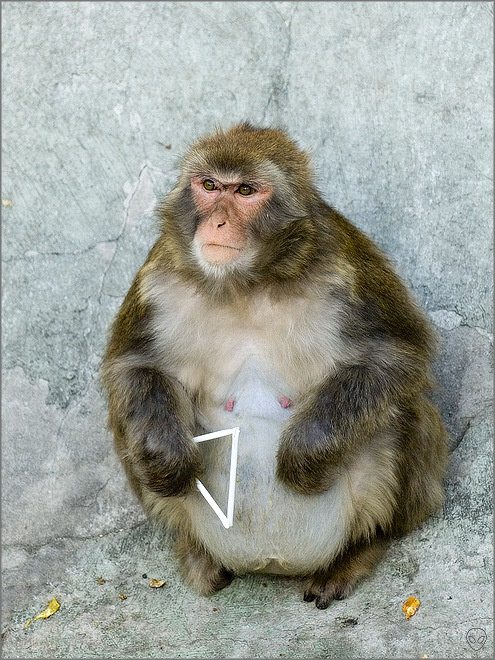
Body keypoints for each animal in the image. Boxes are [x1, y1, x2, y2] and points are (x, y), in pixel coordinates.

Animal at [102, 122, 448, 609]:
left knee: (401, 406)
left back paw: (358, 552)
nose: (218, 221)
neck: (244, 284)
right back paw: (197, 552)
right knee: (127, 419)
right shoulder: (159, 276)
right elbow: (133, 366)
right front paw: (168, 456)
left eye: (246, 191)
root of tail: (271, 564)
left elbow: (395, 355)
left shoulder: (343, 265)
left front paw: (302, 459)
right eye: (209, 186)